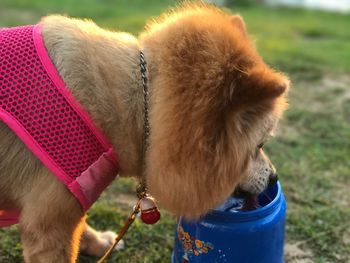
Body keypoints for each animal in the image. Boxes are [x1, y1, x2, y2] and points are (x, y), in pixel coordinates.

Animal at [0, 2, 290, 263]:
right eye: (259, 145)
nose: (274, 177)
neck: (138, 101)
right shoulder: (49, 224)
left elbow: (81, 226)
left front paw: (97, 243)